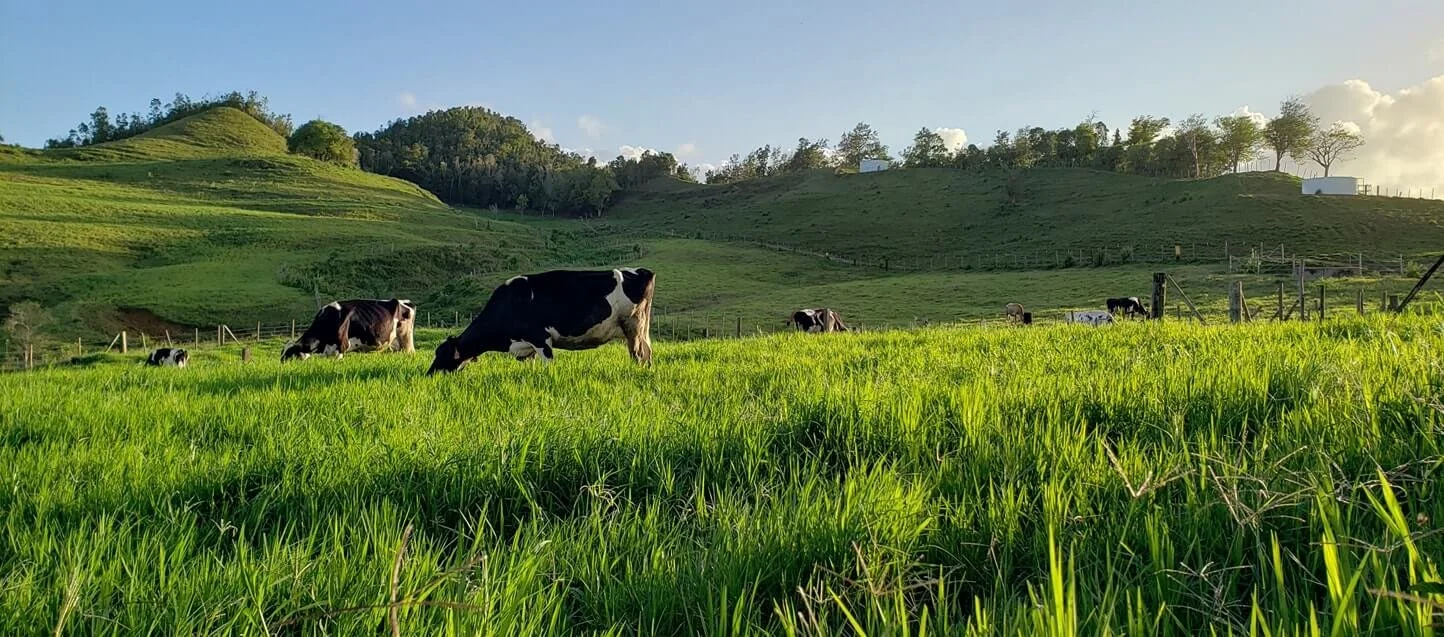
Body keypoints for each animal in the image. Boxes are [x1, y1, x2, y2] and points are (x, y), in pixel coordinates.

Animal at [282, 299, 416, 362]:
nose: (281, 363)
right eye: (282, 352)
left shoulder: (341, 348)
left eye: (289, 353)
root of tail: (405, 301)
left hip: (406, 339)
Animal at [427, 268, 655, 374]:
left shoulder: (541, 339)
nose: (429, 375)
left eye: (442, 354)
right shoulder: (527, 349)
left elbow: (548, 365)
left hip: (633, 326)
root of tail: (642, 271)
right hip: (640, 329)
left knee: (638, 355)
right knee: (647, 352)